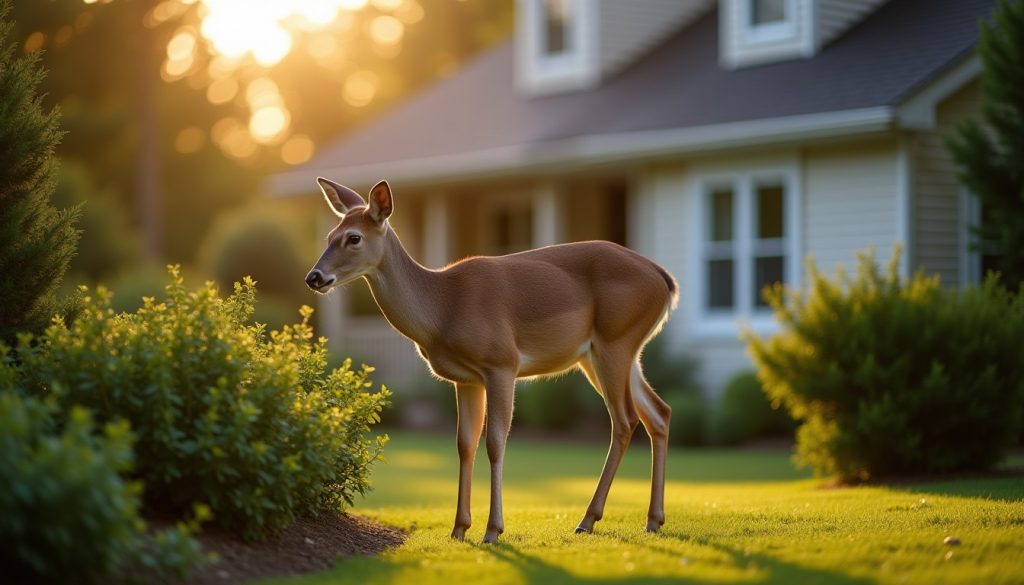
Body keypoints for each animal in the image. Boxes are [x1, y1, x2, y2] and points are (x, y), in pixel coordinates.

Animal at [305, 178, 678, 544]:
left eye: (354, 237)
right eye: (328, 236)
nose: (314, 277)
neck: (442, 309)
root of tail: (664, 278)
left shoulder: (502, 363)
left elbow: (495, 442)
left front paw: (492, 530)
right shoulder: (465, 379)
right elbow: (464, 444)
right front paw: (459, 528)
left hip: (614, 342)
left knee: (625, 419)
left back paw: (588, 519)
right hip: (611, 353)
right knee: (658, 412)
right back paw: (653, 520)